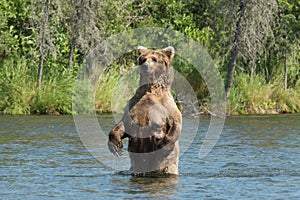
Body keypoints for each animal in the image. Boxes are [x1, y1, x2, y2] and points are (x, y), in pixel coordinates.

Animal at [108, 46, 182, 176]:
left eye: (154, 59)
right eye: (143, 59)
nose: (145, 65)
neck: (151, 88)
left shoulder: (167, 106)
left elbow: (176, 122)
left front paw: (162, 143)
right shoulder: (134, 104)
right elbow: (125, 123)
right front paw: (115, 144)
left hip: (168, 166)